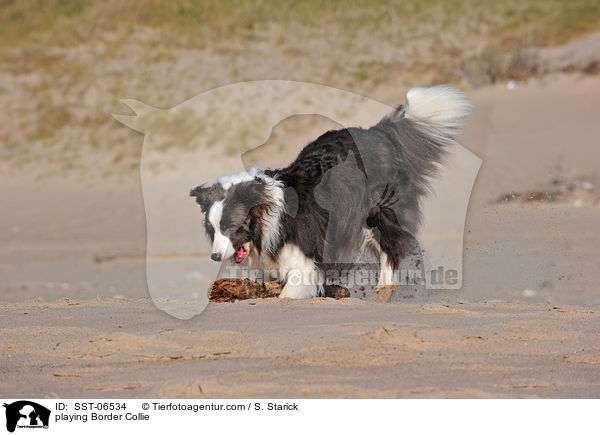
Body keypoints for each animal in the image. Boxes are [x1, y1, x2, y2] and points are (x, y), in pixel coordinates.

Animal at [191, 85, 474, 300]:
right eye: (212, 229)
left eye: (231, 226)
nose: (215, 257)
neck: (267, 211)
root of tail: (378, 134)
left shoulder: (304, 256)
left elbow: (291, 290)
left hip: (377, 212)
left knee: (390, 247)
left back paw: (383, 287)